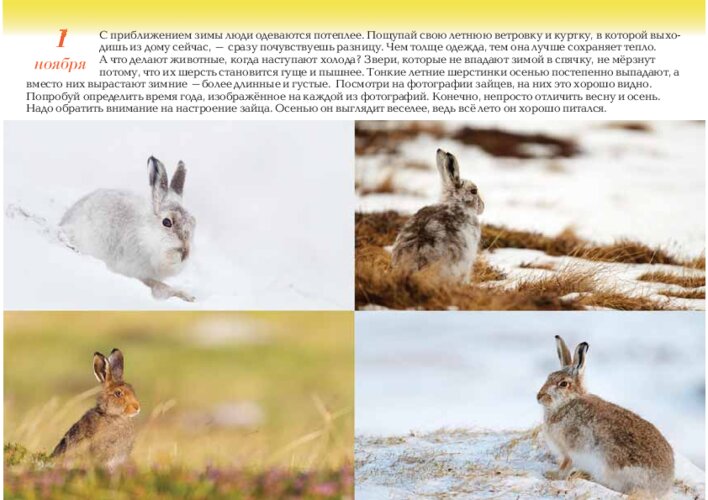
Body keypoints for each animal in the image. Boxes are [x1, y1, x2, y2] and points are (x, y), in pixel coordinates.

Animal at [60, 156, 196, 302]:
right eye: (166, 222)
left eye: (194, 223)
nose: (184, 253)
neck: (146, 236)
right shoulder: (134, 271)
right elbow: (159, 285)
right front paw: (187, 296)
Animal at [537, 336, 674, 498]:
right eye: (549, 377)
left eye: (563, 384)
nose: (539, 396)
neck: (567, 402)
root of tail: (662, 487)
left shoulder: (569, 450)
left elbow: (565, 465)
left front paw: (552, 475)